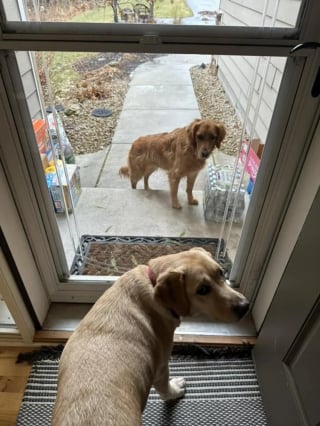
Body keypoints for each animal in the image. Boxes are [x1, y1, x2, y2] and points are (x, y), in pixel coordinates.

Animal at [51, 248, 249, 424]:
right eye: (203, 290)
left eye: (221, 273)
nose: (245, 306)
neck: (152, 282)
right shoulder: (161, 367)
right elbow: (166, 389)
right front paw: (175, 390)